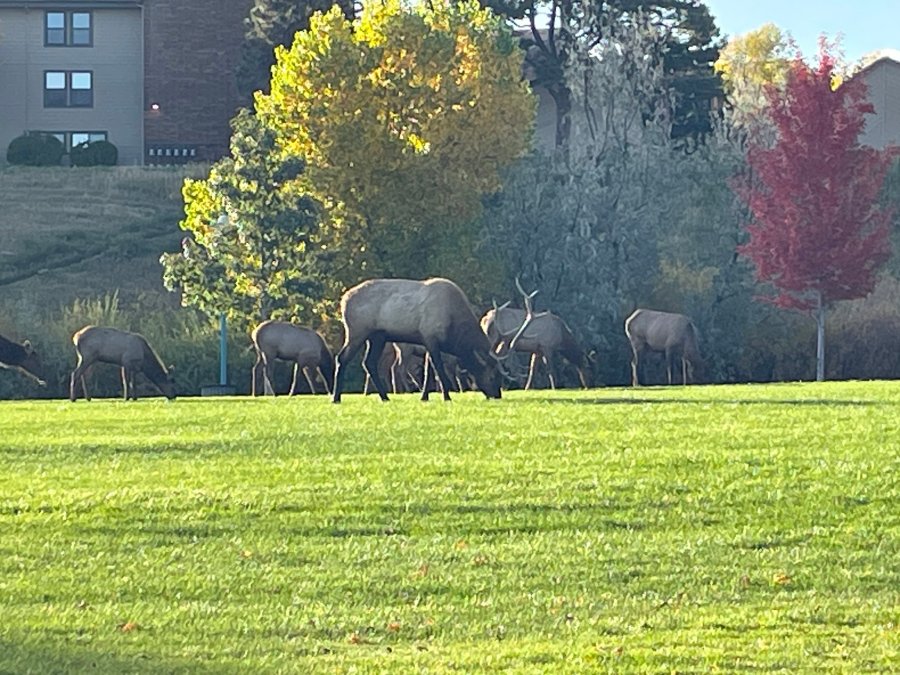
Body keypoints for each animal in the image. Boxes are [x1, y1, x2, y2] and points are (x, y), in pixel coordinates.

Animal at [332, 277, 533, 403]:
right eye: (492, 375)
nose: (497, 395)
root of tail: (343, 300)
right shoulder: (431, 336)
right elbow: (438, 369)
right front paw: (446, 396)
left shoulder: (427, 341)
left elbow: (429, 371)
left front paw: (424, 397)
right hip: (357, 331)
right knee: (342, 358)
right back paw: (336, 398)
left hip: (377, 336)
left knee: (369, 362)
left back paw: (385, 397)